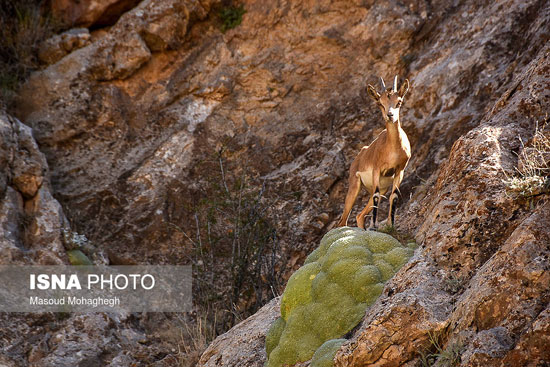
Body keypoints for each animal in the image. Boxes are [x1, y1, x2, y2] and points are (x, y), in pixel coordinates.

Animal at [338, 76, 412, 230]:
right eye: (380, 103)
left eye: (399, 101)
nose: (390, 115)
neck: (393, 149)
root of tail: (360, 155)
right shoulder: (376, 170)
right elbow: (377, 196)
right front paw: (374, 226)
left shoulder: (399, 170)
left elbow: (394, 196)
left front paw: (391, 225)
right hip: (355, 186)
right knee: (343, 219)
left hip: (381, 186)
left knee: (360, 215)